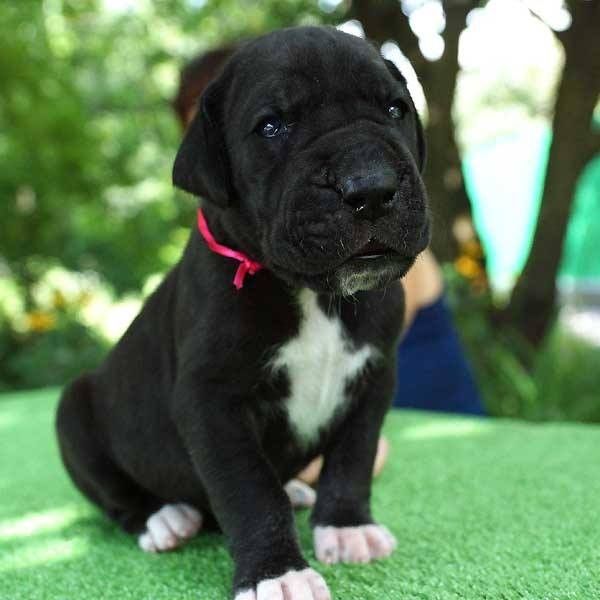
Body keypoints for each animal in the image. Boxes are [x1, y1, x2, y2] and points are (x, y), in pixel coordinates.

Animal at [56, 26, 430, 600]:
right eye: (271, 126)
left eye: (395, 109)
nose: (369, 186)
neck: (313, 295)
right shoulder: (212, 402)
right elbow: (250, 490)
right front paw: (278, 573)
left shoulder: (373, 378)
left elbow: (354, 456)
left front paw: (347, 527)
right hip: (73, 411)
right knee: (116, 496)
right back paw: (163, 519)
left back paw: (296, 490)